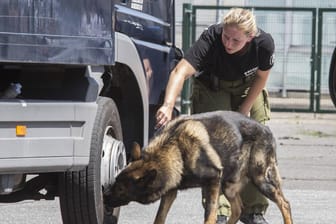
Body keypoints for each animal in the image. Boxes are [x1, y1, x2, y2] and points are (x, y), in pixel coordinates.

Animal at [103, 110, 292, 224]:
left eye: (121, 189)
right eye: (115, 182)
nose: (103, 197)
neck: (176, 148)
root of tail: (267, 130)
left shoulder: (213, 181)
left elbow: (210, 215)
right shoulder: (171, 191)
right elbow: (159, 217)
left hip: (261, 180)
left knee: (284, 203)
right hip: (229, 187)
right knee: (238, 208)